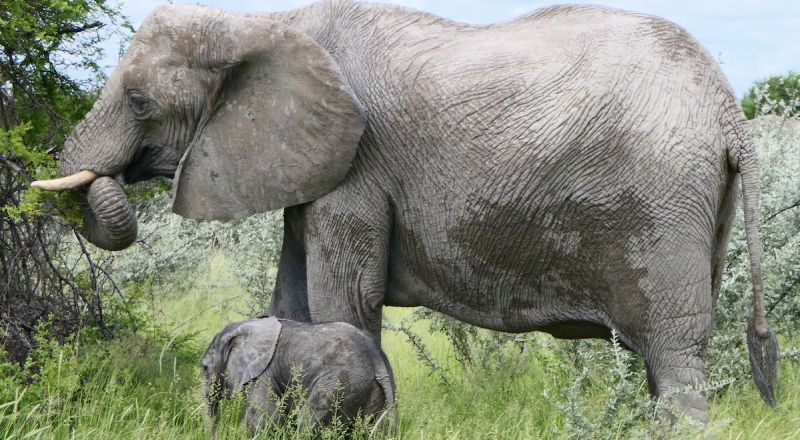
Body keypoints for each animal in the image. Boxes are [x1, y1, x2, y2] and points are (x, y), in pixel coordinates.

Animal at [202, 314, 396, 434]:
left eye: (204, 367)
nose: (215, 434)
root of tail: (375, 358)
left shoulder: (264, 371)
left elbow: (264, 416)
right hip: (373, 391)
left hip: (341, 384)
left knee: (308, 422)